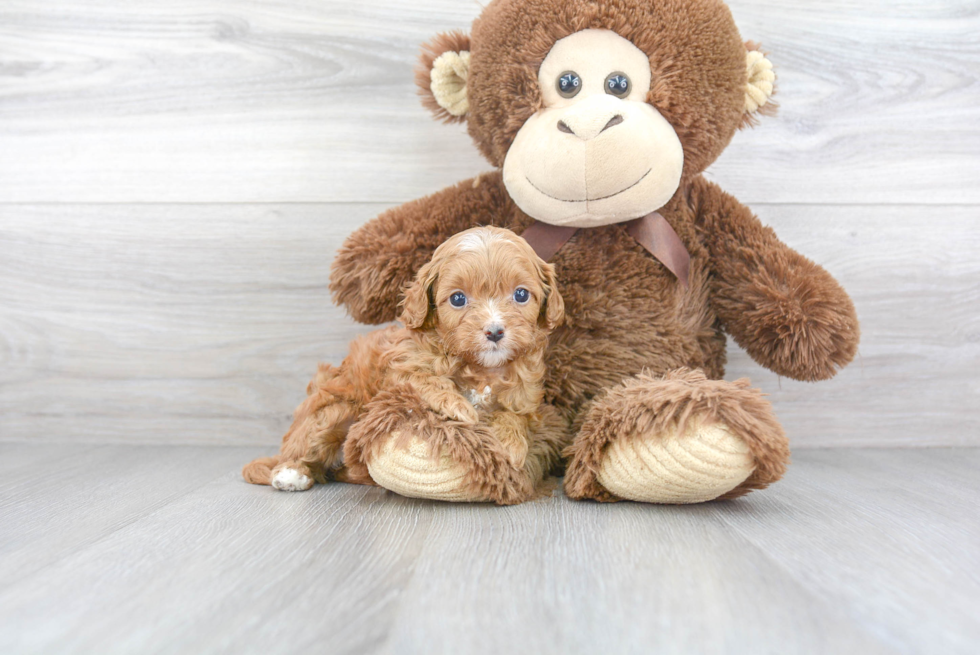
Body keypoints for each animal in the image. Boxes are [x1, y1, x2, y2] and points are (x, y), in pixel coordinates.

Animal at [243, 227, 568, 508]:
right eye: (458, 298)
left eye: (521, 294)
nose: (495, 331)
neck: (480, 367)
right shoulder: (399, 368)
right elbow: (424, 380)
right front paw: (458, 406)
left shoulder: (526, 397)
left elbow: (517, 415)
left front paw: (511, 443)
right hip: (333, 409)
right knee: (303, 446)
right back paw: (290, 473)